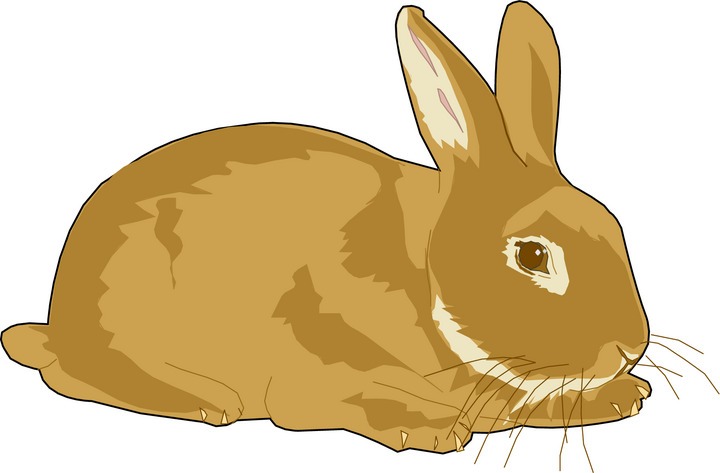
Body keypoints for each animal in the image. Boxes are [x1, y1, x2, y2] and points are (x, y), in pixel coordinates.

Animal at [1, 2, 651, 454]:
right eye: (533, 256)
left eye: (614, 227)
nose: (630, 349)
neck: (425, 278)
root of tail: (59, 315)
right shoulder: (317, 373)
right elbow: (351, 398)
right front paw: (431, 430)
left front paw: (622, 396)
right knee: (67, 372)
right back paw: (206, 399)